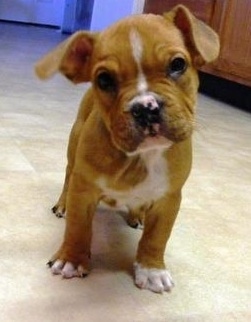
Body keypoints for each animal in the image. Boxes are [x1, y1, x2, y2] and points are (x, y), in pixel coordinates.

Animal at [35, 5, 220, 294]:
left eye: (178, 65)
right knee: (67, 175)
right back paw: (62, 205)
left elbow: (157, 237)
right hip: (73, 147)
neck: (141, 158)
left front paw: (152, 269)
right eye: (104, 80)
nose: (145, 106)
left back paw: (136, 215)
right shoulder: (83, 189)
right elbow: (77, 227)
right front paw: (71, 259)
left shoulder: (168, 199)